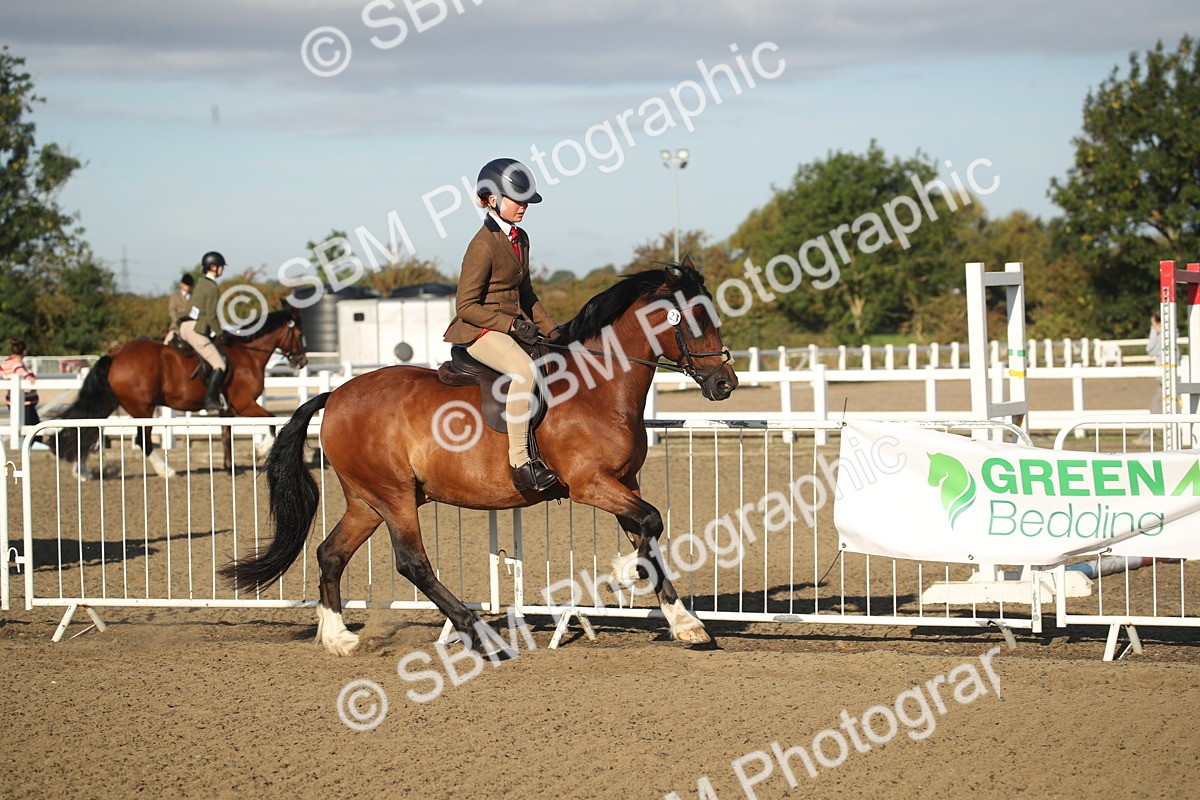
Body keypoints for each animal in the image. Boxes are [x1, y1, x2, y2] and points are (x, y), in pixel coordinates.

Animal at [50, 307, 308, 478]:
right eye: (298, 334)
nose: (302, 361)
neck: (248, 354)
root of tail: (115, 354)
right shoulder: (243, 403)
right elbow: (272, 422)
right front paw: (260, 452)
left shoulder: (228, 408)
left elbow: (226, 435)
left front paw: (229, 468)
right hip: (143, 408)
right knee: (141, 440)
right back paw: (167, 471)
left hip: (111, 402)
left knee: (86, 426)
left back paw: (81, 471)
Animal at [220, 259, 739, 655]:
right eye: (692, 319)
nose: (724, 384)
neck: (599, 386)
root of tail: (336, 394)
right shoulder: (590, 483)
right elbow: (651, 524)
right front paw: (623, 575)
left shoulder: (624, 482)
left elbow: (649, 539)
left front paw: (687, 624)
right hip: (394, 496)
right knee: (412, 563)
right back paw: (479, 633)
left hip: (367, 500)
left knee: (330, 554)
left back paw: (339, 638)